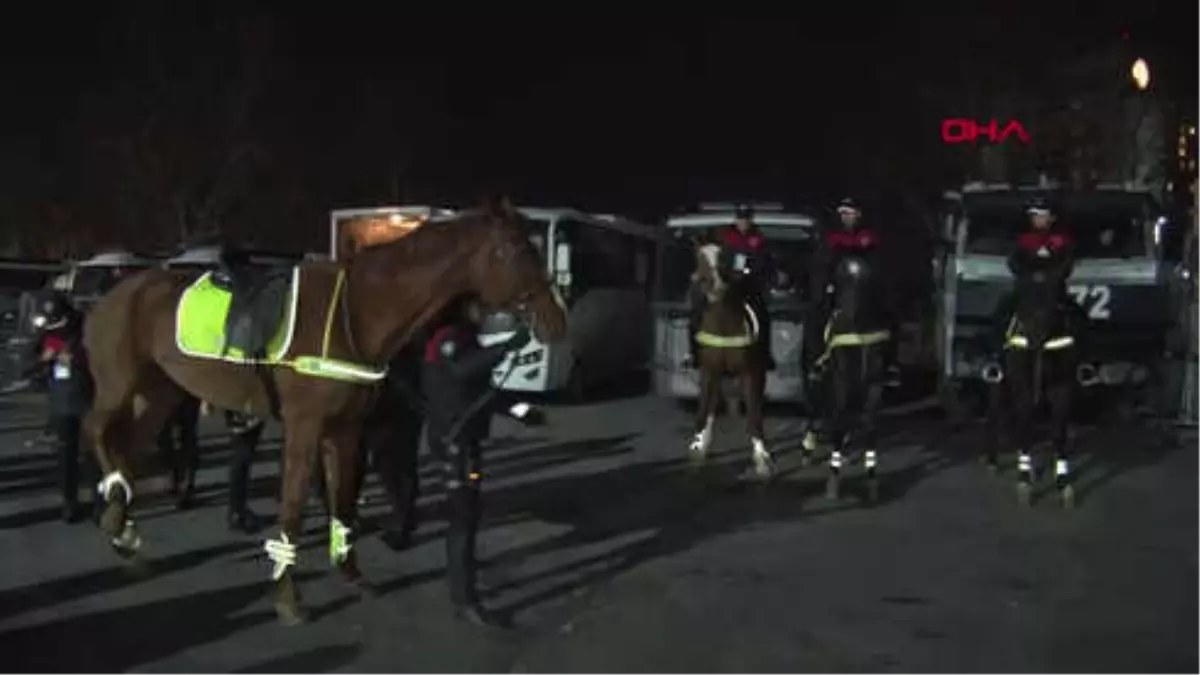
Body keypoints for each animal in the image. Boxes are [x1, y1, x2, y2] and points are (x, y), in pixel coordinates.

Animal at [81, 201, 566, 624]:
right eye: (514, 249)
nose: (556, 320)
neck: (357, 313)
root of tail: (112, 295)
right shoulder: (305, 427)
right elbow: (294, 507)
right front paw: (289, 599)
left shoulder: (346, 430)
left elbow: (343, 499)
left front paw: (351, 573)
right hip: (120, 385)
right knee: (97, 429)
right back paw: (114, 509)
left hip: (159, 393)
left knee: (128, 444)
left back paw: (119, 520)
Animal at [681, 241, 772, 478]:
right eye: (698, 258)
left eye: (724, 257)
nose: (712, 284)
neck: (723, 325)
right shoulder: (708, 371)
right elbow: (704, 408)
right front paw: (698, 446)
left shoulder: (750, 373)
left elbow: (753, 413)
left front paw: (761, 458)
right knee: (712, 403)